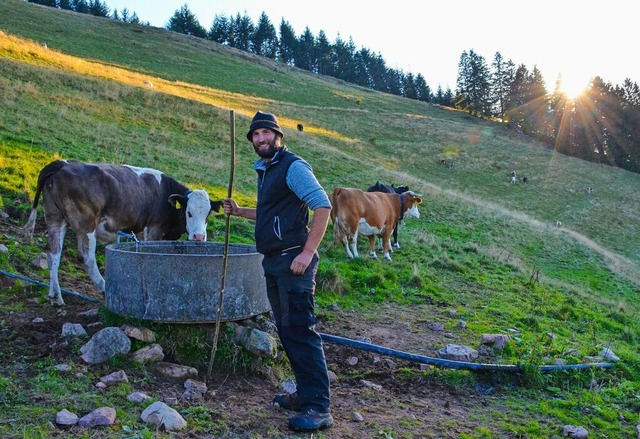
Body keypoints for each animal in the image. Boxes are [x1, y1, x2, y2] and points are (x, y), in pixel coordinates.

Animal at [21, 160, 222, 308]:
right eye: (189, 212)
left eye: (208, 214)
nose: (199, 238)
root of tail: (61, 164)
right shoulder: (154, 230)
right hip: (86, 224)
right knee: (86, 257)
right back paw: (104, 287)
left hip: (55, 218)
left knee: (53, 252)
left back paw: (55, 295)